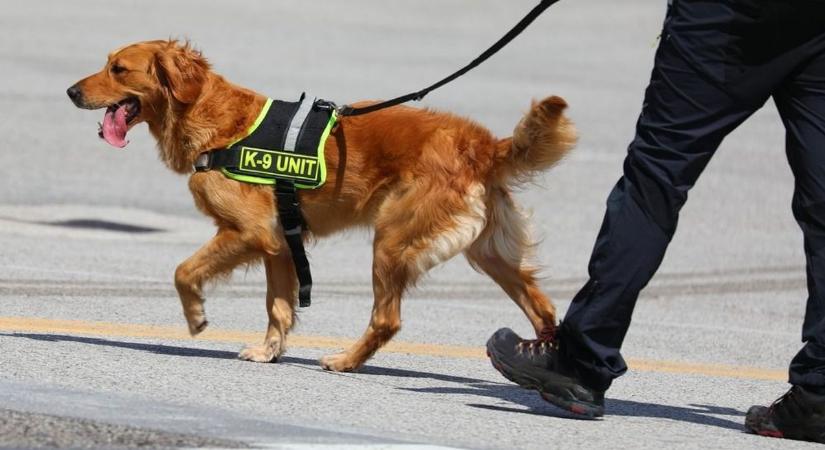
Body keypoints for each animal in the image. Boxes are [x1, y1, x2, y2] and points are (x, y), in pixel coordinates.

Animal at [67, 38, 576, 370]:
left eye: (118, 69)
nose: (71, 92)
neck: (214, 120)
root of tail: (482, 143)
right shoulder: (278, 243)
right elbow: (278, 306)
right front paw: (269, 352)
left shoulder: (249, 232)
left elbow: (184, 271)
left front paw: (196, 318)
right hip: (489, 254)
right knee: (544, 310)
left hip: (390, 241)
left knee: (387, 319)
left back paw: (347, 361)